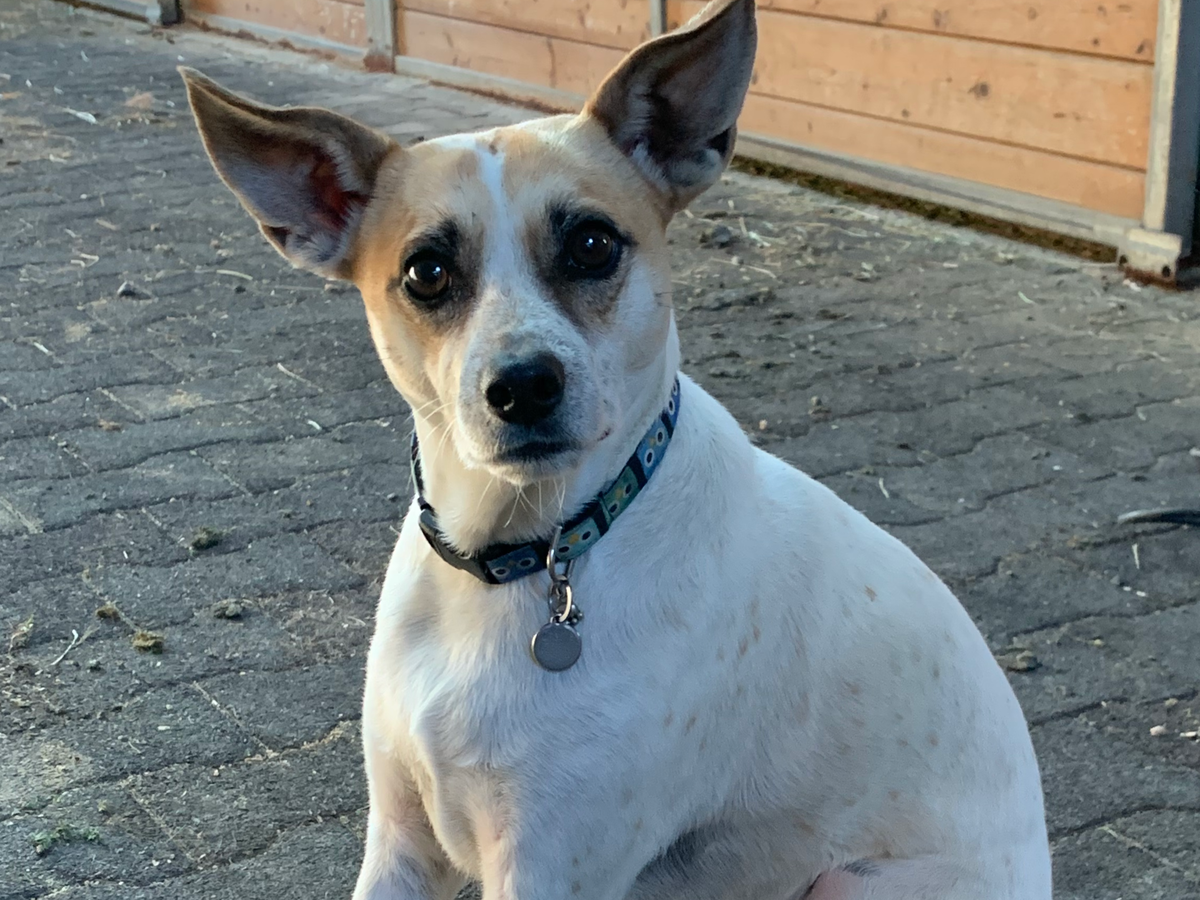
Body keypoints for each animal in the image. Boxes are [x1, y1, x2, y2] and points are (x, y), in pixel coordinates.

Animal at [180, 1, 1052, 896]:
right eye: (425, 271)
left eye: (593, 244)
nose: (523, 386)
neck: (527, 555)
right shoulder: (400, 838)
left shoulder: (549, 865)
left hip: (847, 882)